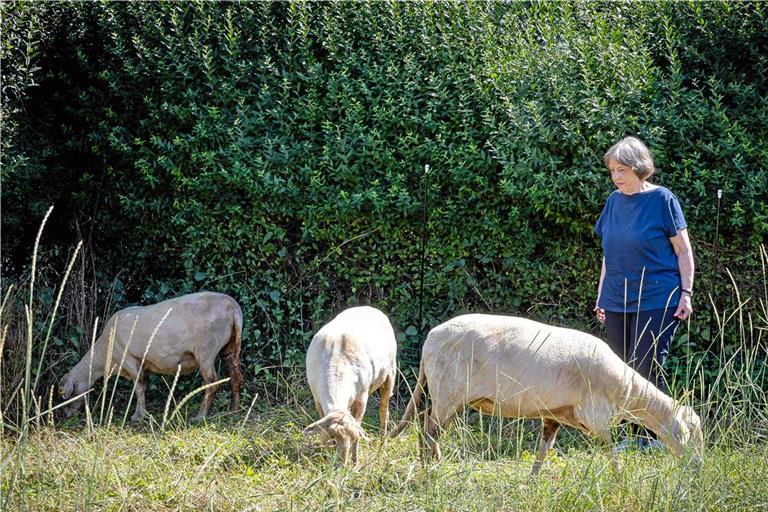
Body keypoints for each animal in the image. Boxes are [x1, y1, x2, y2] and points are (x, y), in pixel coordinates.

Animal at [58, 291, 243, 422]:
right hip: (230, 346)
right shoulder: (143, 362)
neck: (105, 356)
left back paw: (200, 416)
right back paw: (233, 410)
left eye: (67, 395)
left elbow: (139, 387)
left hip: (206, 350)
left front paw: (137, 416)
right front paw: (142, 413)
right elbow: (144, 385)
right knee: (235, 376)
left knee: (212, 382)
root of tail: (233, 309)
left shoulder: (129, 359)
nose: (65, 415)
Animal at [303, 306, 397, 464]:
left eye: (352, 439)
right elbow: (323, 433)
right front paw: (325, 458)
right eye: (333, 439)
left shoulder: (361, 398)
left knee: (384, 410)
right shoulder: (318, 400)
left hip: (390, 372)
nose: (341, 464)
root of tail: (369, 307)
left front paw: (355, 462)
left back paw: (382, 443)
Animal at [389, 314, 703, 474]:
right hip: (449, 392)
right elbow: (611, 452)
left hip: (444, 394)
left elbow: (544, 449)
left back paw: (426, 462)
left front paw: (533, 479)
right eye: (688, 433)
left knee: (423, 421)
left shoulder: (555, 414)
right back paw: (432, 468)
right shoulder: (598, 419)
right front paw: (618, 477)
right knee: (430, 429)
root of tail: (430, 340)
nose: (698, 466)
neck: (628, 392)